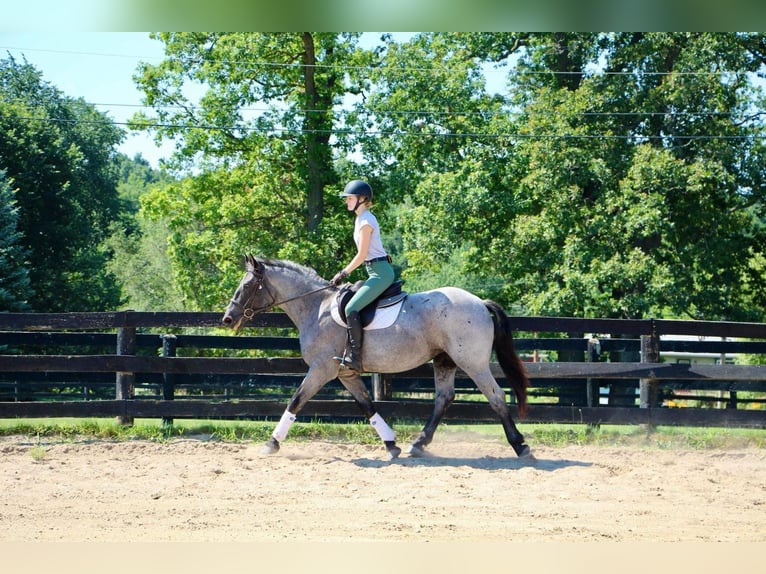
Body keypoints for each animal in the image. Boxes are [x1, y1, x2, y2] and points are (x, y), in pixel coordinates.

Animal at [222, 254, 536, 462]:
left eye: (247, 286)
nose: (228, 318)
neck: (316, 307)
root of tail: (479, 302)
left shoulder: (322, 369)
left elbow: (296, 401)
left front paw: (271, 443)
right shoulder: (345, 373)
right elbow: (367, 405)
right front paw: (391, 445)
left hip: (472, 362)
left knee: (495, 395)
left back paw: (520, 446)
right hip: (444, 360)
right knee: (444, 397)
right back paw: (418, 444)